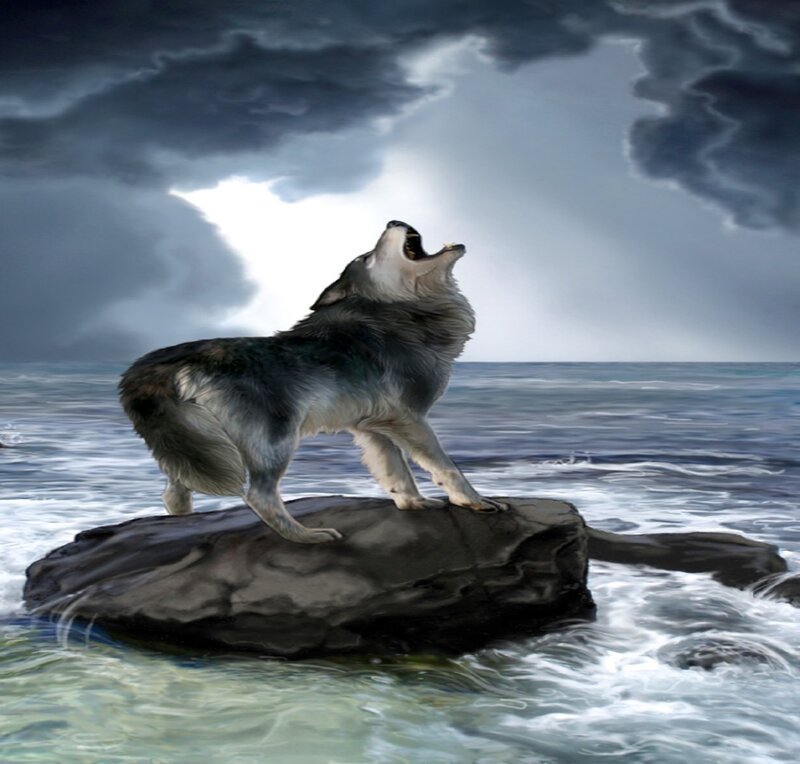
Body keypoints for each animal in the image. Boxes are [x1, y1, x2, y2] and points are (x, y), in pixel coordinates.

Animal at [119, 220, 506, 544]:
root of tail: (164, 360)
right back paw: (308, 537)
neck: (402, 310)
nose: (394, 220)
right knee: (257, 495)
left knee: (174, 491)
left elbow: (395, 473)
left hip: (198, 447)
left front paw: (414, 504)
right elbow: (445, 467)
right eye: (367, 257)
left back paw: (182, 525)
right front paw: (476, 502)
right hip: (273, 441)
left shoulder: (373, 427)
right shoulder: (410, 419)